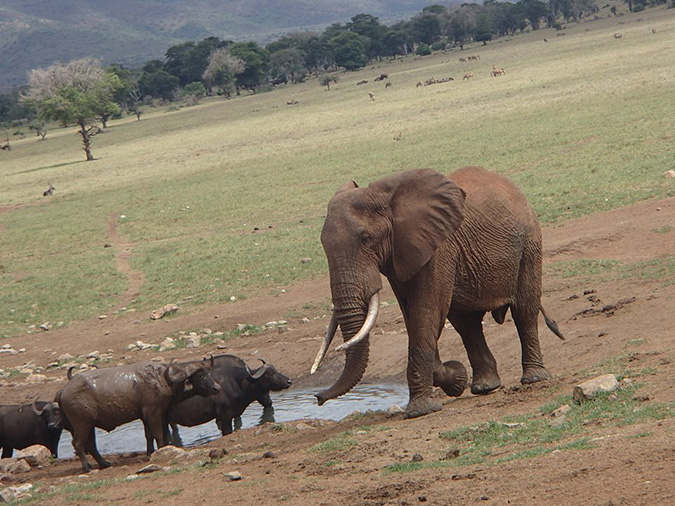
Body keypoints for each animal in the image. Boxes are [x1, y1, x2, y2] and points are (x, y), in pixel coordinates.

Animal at [56, 358, 219, 472]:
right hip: (82, 424)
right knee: (78, 443)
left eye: (209, 372)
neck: (163, 379)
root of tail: (63, 390)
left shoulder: (145, 417)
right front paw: (161, 450)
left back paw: (105, 463)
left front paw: (150, 453)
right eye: (199, 376)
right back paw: (87, 467)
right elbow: (159, 434)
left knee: (91, 445)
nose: (217, 388)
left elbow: (149, 435)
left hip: (90, 425)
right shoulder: (154, 413)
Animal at [312, 166, 564, 420]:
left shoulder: (438, 248)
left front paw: (420, 411)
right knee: (467, 325)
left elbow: (425, 315)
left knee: (524, 311)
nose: (318, 398)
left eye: (366, 238)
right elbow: (414, 318)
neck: (384, 196)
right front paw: (457, 379)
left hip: (530, 242)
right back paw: (485, 387)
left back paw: (534, 378)